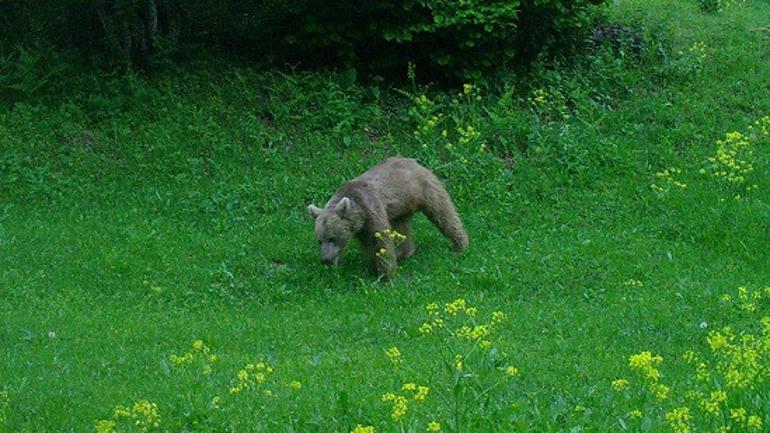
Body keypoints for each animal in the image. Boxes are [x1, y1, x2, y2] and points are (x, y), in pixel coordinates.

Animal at [308, 157, 468, 278]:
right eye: (319, 240)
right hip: (400, 208)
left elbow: (380, 241)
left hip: (424, 190)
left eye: (332, 238)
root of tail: (413, 161)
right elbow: (369, 245)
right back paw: (404, 253)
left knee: (443, 213)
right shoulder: (362, 228)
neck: (358, 213)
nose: (325, 259)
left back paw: (459, 245)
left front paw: (385, 273)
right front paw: (373, 265)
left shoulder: (372, 211)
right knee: (403, 227)